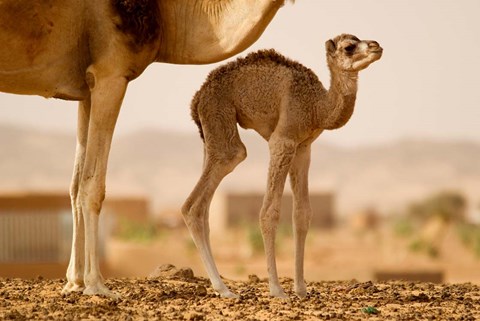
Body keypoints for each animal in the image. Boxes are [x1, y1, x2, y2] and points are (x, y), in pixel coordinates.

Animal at [182, 34, 384, 298]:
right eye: (349, 47)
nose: (376, 46)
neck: (316, 107)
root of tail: (197, 98)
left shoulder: (304, 147)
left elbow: (302, 214)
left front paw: (301, 288)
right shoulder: (283, 140)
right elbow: (269, 212)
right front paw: (277, 289)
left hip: (210, 135)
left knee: (204, 206)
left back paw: (221, 286)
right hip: (220, 118)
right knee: (201, 196)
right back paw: (224, 289)